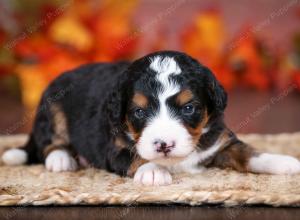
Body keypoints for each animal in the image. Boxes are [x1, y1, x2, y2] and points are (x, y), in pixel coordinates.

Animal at [2, 50, 300, 186]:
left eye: (188, 108)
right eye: (139, 111)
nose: (164, 145)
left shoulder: (221, 141)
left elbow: (249, 152)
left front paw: (283, 162)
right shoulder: (115, 148)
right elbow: (136, 156)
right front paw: (154, 170)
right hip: (52, 108)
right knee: (48, 143)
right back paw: (62, 159)